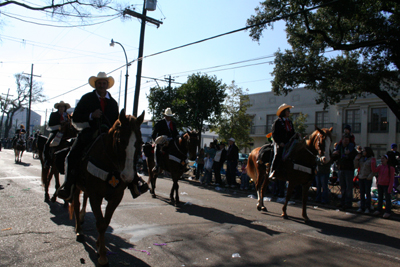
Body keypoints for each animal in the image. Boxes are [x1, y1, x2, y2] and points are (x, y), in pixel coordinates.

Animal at [67, 109, 144, 267]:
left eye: (140, 142)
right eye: (120, 141)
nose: (127, 176)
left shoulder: (116, 196)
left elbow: (105, 221)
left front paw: (98, 246)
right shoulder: (95, 195)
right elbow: (100, 224)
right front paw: (102, 256)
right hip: (76, 186)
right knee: (76, 205)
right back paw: (79, 231)